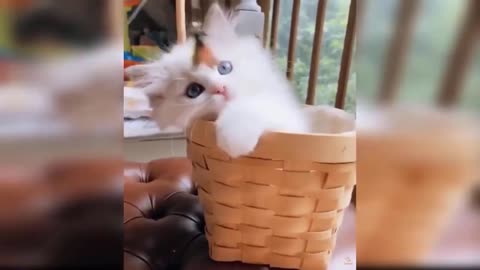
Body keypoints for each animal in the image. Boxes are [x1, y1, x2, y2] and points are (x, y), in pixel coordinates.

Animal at [125, 3, 310, 157]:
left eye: (225, 67)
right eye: (193, 90)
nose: (221, 88)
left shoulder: (287, 120)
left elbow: (257, 107)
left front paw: (236, 136)